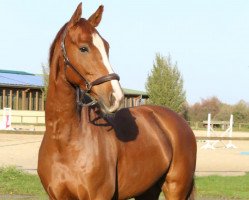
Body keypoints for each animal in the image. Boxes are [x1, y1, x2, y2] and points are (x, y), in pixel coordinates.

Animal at [38, 3, 196, 200]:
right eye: (83, 48)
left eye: (106, 46)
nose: (116, 96)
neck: (64, 141)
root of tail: (181, 122)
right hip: (148, 190)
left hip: (175, 187)